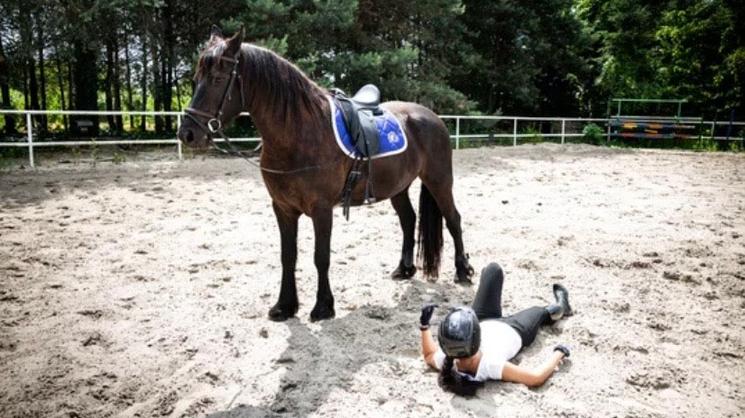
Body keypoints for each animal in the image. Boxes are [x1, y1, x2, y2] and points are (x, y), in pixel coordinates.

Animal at [177, 26, 475, 322]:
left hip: (439, 180)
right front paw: (284, 306)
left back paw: (463, 272)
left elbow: (321, 257)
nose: (187, 134)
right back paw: (405, 269)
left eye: (217, 78)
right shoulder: (283, 208)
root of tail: (431, 116)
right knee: (408, 220)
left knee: (453, 219)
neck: (300, 132)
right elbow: (288, 256)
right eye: (196, 78)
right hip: (398, 186)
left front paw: (323, 307)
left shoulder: (321, 209)